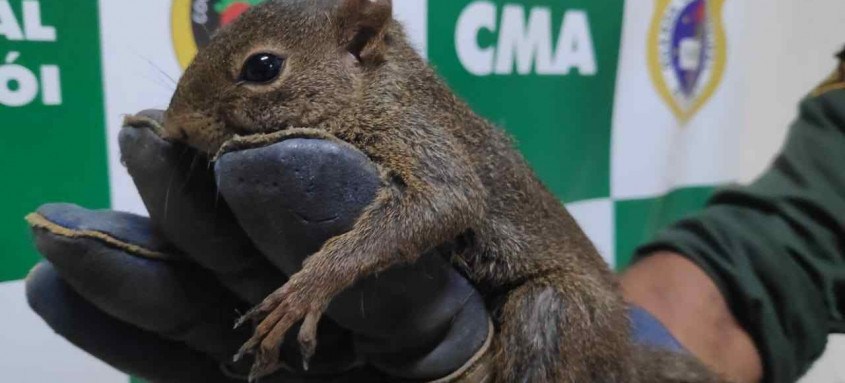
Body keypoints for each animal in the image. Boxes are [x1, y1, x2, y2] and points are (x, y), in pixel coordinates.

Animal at [163, 0, 724, 383]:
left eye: (262, 67)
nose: (174, 126)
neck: (378, 88)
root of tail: (623, 354)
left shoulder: (420, 133)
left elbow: (449, 199)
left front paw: (308, 289)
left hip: (556, 312)